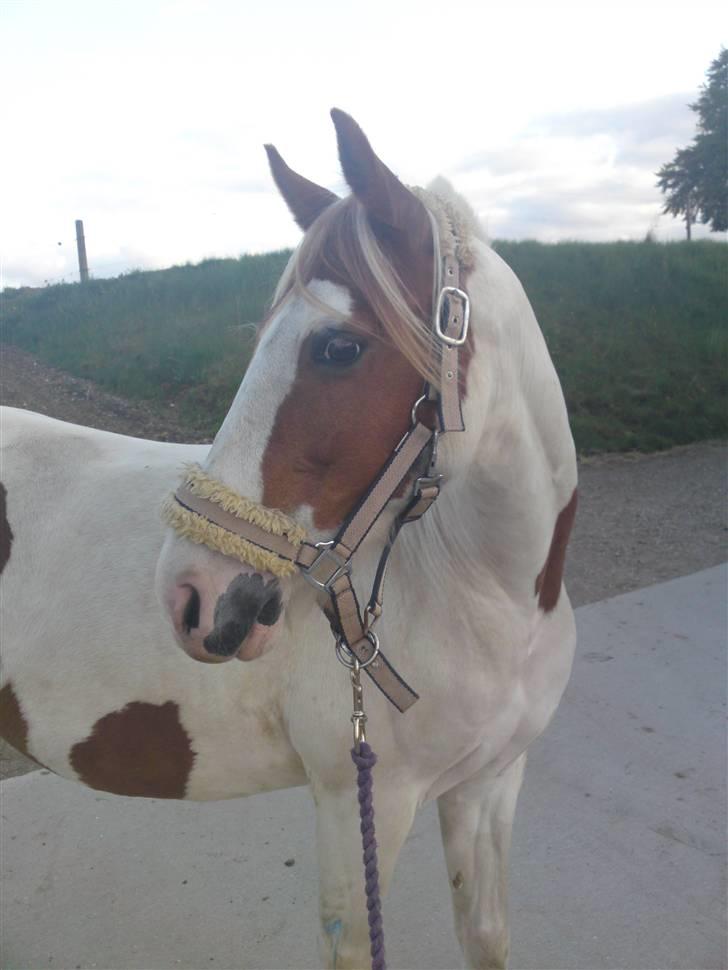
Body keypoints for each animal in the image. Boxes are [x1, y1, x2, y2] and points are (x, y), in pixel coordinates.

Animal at [0, 109, 577, 969]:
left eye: (339, 347)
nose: (192, 597)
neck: (487, 595)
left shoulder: (491, 786)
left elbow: (486, 937)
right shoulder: (360, 805)